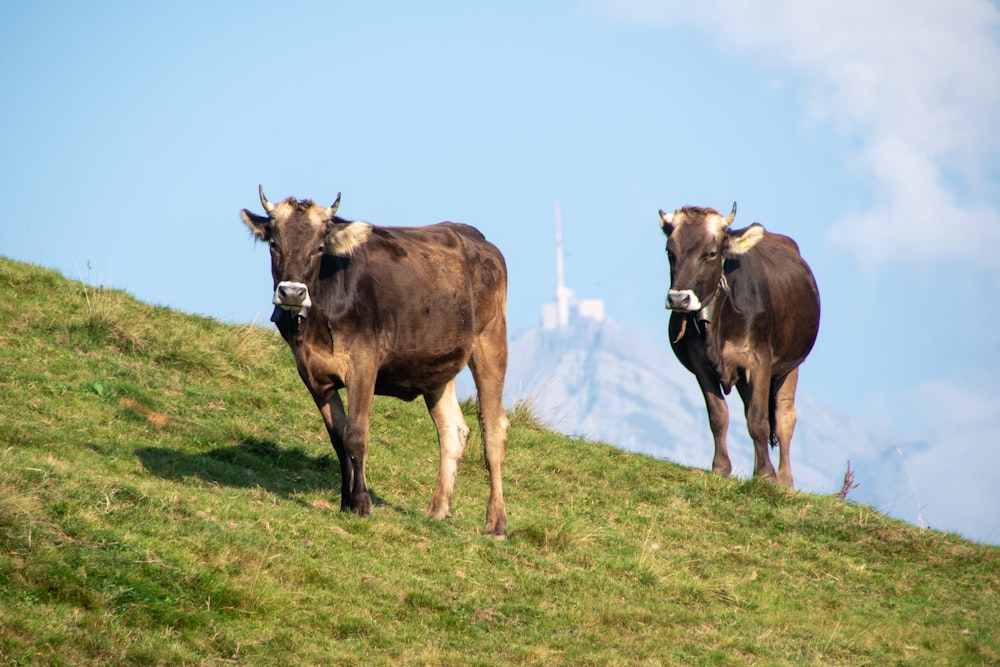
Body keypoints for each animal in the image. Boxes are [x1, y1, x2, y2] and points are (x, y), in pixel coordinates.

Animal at [240, 188, 508, 536]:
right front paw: (346, 501)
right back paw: (437, 510)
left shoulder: (364, 364)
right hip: (436, 366)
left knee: (493, 429)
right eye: (274, 244)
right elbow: (338, 439)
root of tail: (476, 238)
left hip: (490, 340)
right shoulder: (312, 374)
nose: (292, 293)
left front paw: (362, 504)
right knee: (454, 431)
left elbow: (356, 435)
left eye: (319, 248)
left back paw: (496, 523)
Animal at [660, 201, 816, 488]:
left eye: (711, 253)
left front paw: (765, 474)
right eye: (670, 252)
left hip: (790, 365)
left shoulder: (760, 360)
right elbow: (719, 415)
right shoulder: (700, 364)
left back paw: (784, 480)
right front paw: (721, 468)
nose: (678, 299)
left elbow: (760, 420)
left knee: (784, 417)